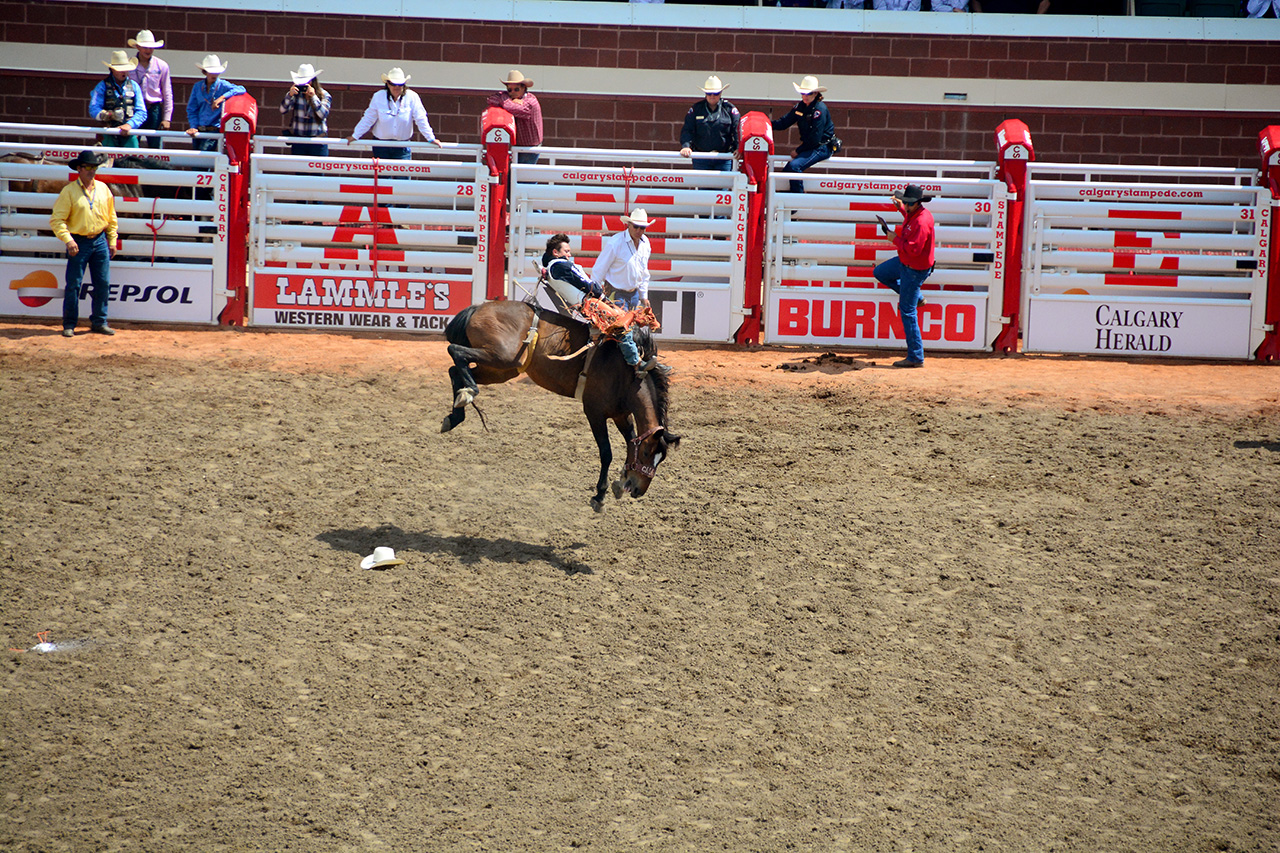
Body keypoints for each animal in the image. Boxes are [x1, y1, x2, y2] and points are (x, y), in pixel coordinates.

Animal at [442, 300, 680, 512]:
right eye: (648, 454)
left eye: (661, 458)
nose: (639, 490)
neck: (628, 375)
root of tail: (478, 307)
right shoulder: (594, 412)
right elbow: (606, 452)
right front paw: (600, 496)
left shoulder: (621, 414)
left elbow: (631, 442)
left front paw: (621, 483)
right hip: (501, 356)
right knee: (455, 351)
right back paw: (467, 394)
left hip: (502, 369)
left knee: (456, 371)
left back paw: (455, 414)